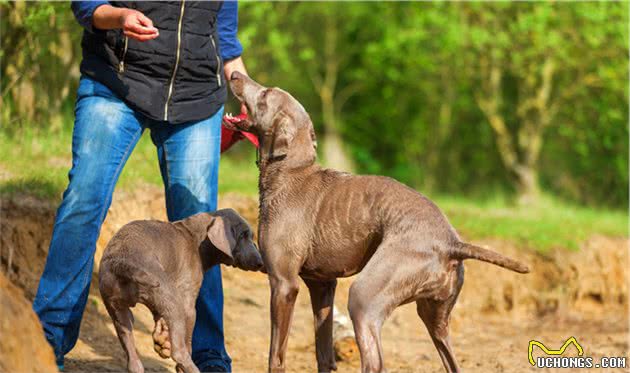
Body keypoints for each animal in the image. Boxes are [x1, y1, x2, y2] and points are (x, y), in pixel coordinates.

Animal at [98, 209, 264, 372]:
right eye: (243, 235)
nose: (260, 262)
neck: (197, 238)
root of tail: (121, 262)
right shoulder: (187, 300)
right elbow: (187, 336)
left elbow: (160, 316)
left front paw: (162, 340)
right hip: (169, 296)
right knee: (179, 352)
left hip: (116, 306)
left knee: (132, 356)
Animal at [227, 72, 532, 372]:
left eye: (265, 93)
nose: (234, 74)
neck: (291, 171)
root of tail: (451, 243)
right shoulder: (322, 285)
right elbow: (324, 355)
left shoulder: (284, 284)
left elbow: (275, 356)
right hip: (435, 317)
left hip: (364, 299)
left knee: (375, 362)